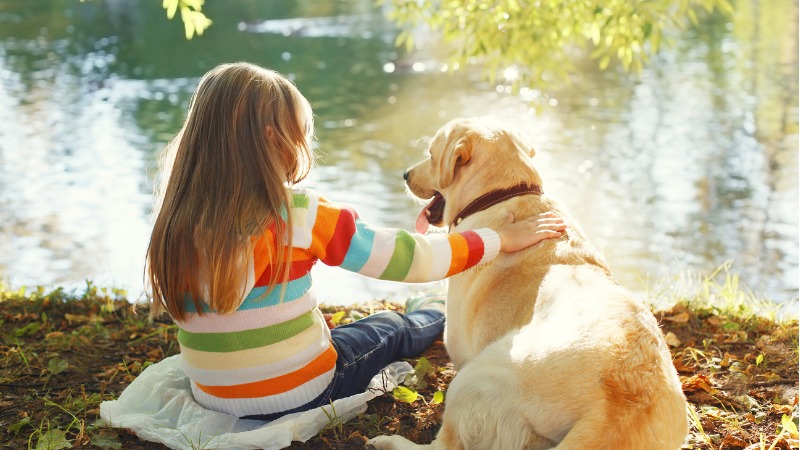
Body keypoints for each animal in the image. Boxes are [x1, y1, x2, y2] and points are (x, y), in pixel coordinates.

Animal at [368, 118, 688, 448]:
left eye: (431, 154)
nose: (406, 175)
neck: (507, 192)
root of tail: (614, 411)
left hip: (477, 374)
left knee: (445, 444)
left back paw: (389, 442)